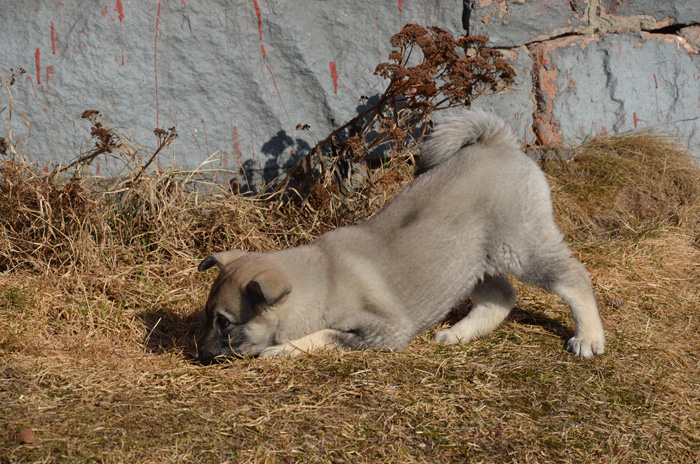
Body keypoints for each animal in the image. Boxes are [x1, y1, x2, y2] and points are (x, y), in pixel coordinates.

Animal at [194, 109, 604, 362]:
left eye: (224, 323)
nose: (197, 354)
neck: (320, 282)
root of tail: (497, 143)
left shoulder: (384, 332)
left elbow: (325, 335)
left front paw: (283, 350)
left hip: (518, 245)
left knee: (572, 277)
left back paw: (588, 337)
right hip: (467, 261)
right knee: (501, 296)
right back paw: (458, 333)